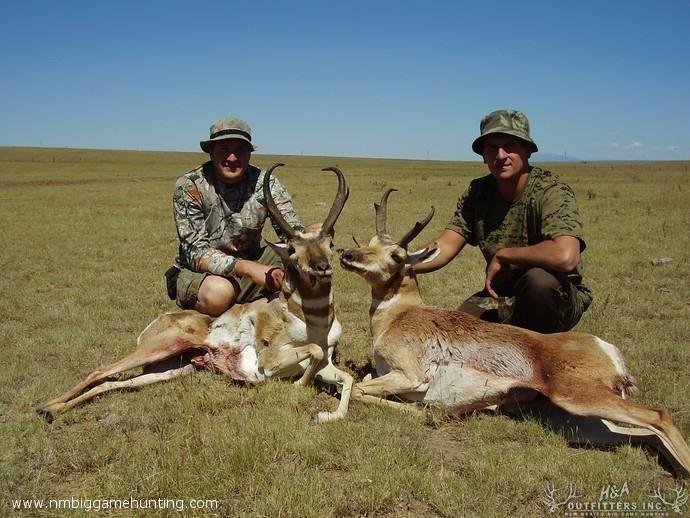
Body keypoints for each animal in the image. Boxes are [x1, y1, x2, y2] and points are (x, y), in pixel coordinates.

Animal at [36, 166, 354, 426]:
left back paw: (51, 410)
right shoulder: (271, 359)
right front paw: (300, 385)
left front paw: (323, 414)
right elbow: (311, 355)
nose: (323, 268)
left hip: (174, 368)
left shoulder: (326, 366)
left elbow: (346, 377)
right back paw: (46, 407)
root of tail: (161, 319)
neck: (312, 323)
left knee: (115, 384)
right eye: (292, 249)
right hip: (161, 346)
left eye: (330, 243)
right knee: (100, 371)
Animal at [338, 189, 688, 478]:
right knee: (648, 435)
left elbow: (358, 389)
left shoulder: (410, 377)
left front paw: (429, 413)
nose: (347, 255)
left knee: (659, 415)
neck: (400, 315)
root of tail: (605, 347)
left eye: (397, 255)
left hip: (579, 397)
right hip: (581, 423)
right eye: (369, 242)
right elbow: (361, 382)